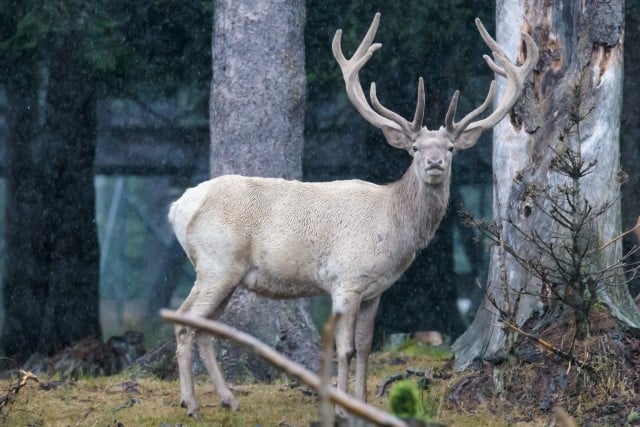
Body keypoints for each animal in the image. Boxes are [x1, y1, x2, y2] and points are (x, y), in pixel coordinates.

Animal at [169, 13, 536, 418]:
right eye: (415, 148)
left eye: (451, 147)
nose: (435, 162)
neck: (392, 229)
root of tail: (178, 207)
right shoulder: (346, 279)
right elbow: (342, 349)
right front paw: (342, 407)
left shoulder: (376, 290)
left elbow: (364, 348)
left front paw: (363, 403)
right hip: (217, 263)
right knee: (185, 324)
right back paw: (191, 404)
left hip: (227, 273)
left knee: (205, 327)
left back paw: (228, 399)